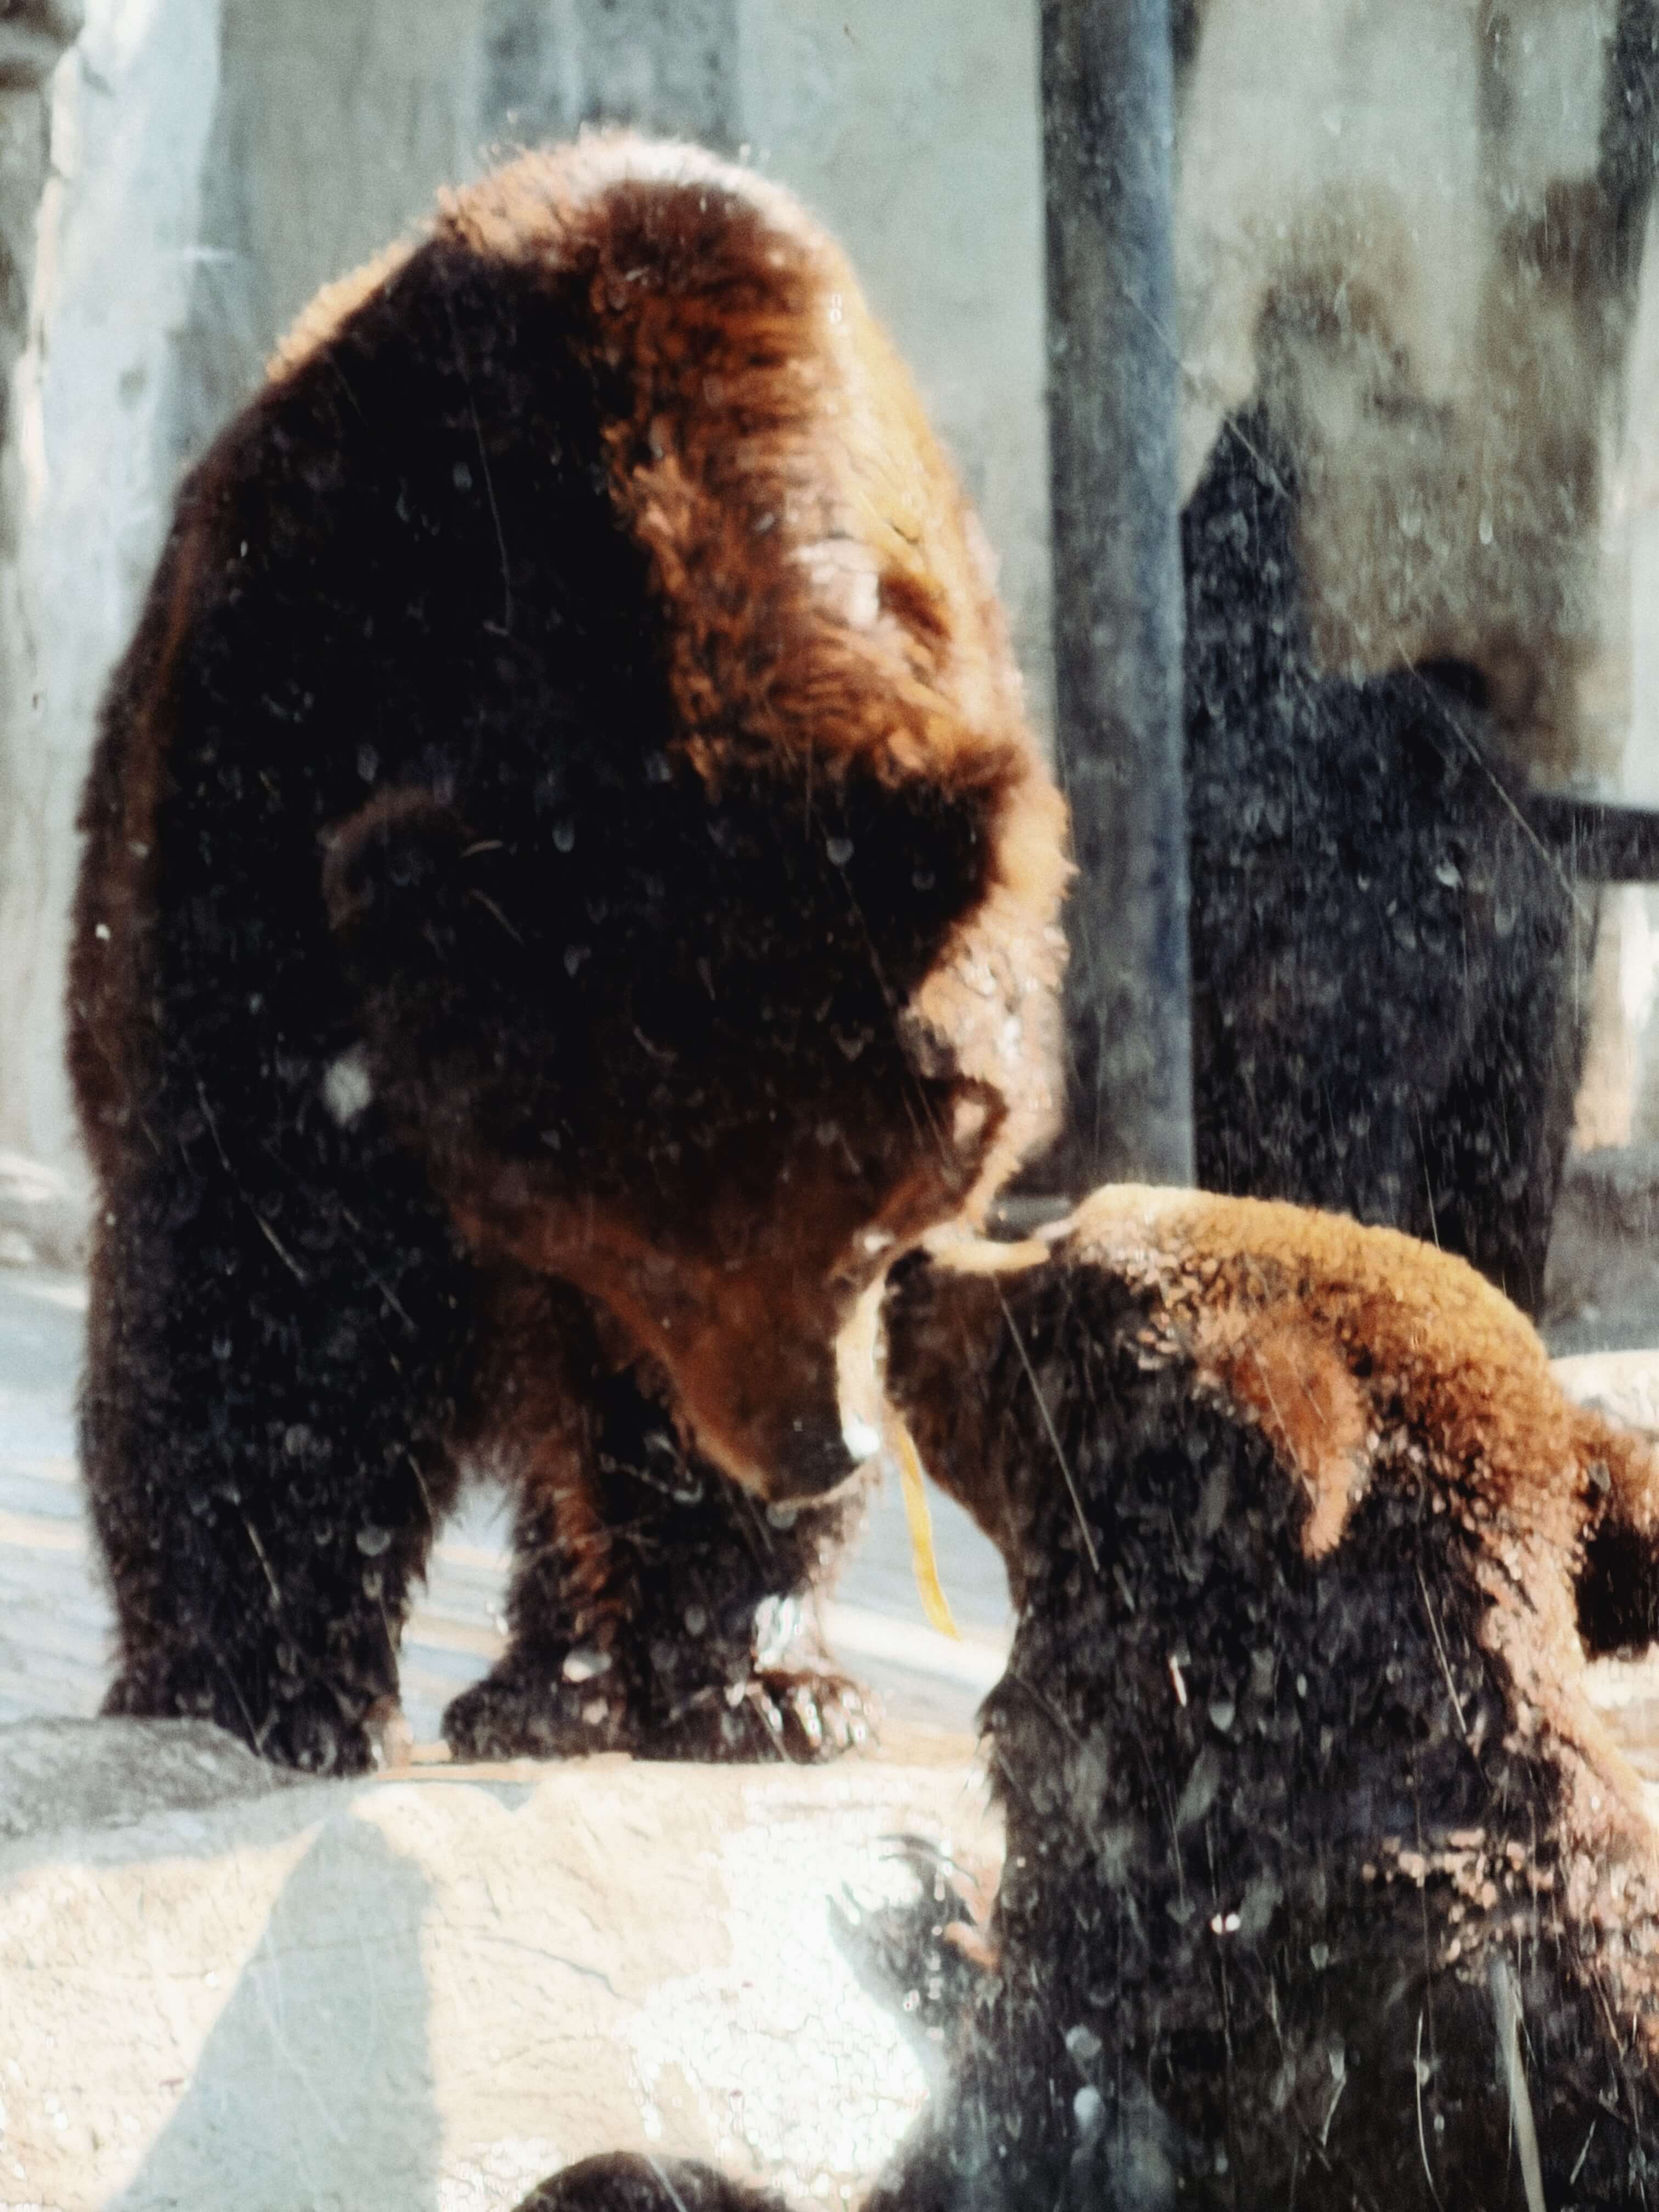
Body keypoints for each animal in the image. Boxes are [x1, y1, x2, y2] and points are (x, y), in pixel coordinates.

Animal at [66, 133, 1069, 1775]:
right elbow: (266, 1258)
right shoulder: (274, 779)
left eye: (885, 1202)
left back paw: (557, 1678)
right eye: (663, 1245)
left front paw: (766, 1682)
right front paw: (254, 1680)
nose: (817, 1445)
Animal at [514, 1187, 1659, 2211]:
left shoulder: (1190, 2039)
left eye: (1062, 1255)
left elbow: (970, 2152)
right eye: (1067, 1225)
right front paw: (920, 1889)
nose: (916, 1262)